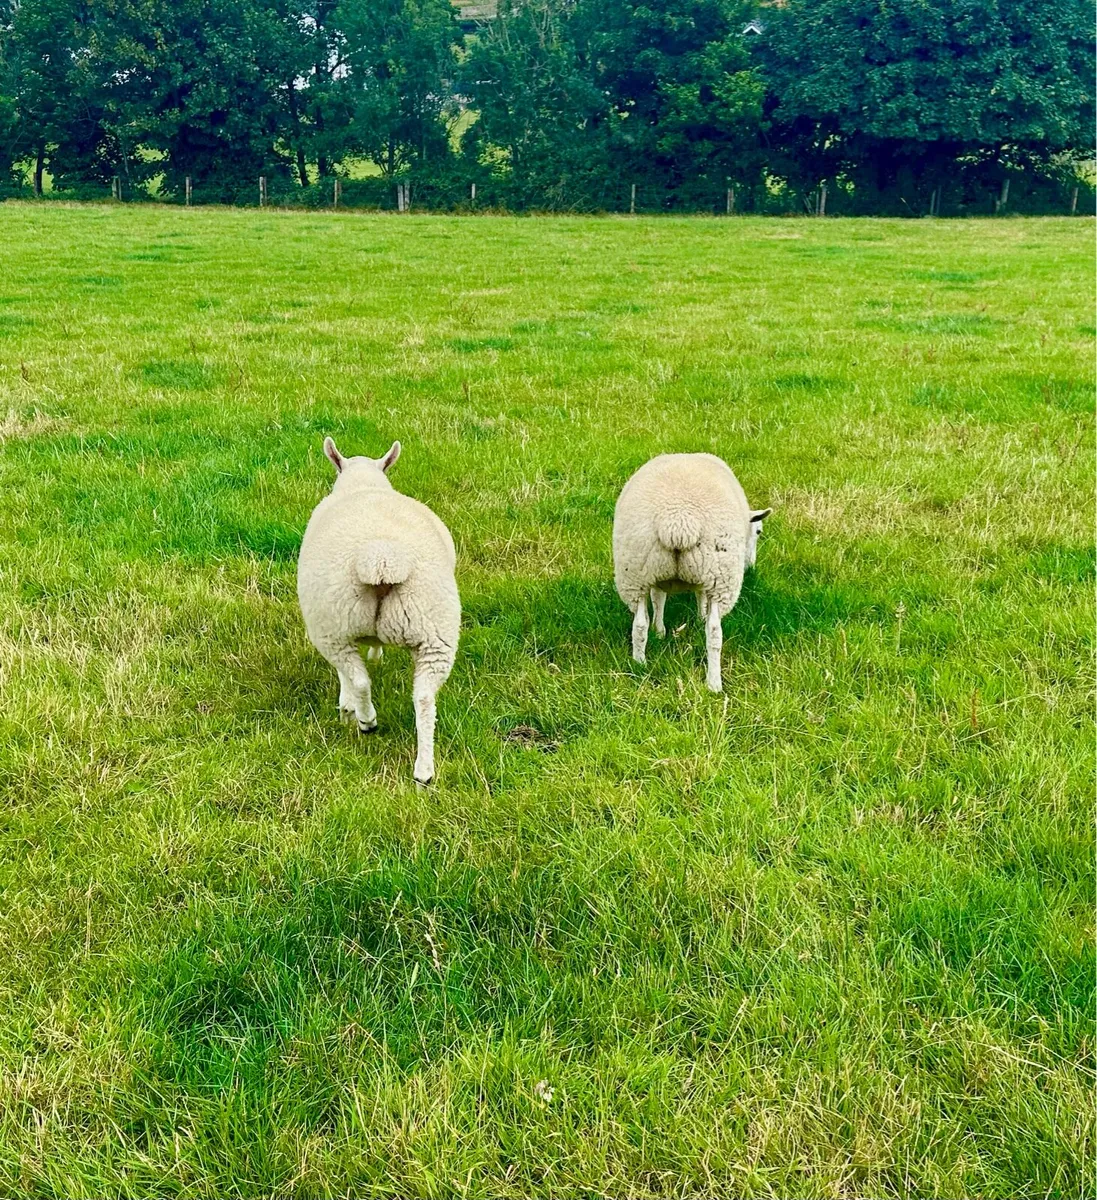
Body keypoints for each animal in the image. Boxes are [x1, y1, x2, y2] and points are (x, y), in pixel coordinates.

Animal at [297, 437, 460, 784]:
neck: (363, 484)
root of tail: (382, 558)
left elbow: (346, 676)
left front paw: (346, 707)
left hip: (332, 623)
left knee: (358, 678)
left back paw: (366, 720)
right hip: (435, 630)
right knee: (424, 698)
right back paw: (424, 772)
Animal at [612, 453, 770, 692]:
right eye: (758, 531)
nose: (750, 567)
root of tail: (678, 522)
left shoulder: (659, 576)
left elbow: (658, 599)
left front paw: (660, 631)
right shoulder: (707, 579)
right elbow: (700, 597)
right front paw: (699, 616)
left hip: (634, 573)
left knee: (639, 625)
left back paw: (639, 665)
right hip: (721, 576)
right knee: (714, 633)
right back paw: (714, 684)